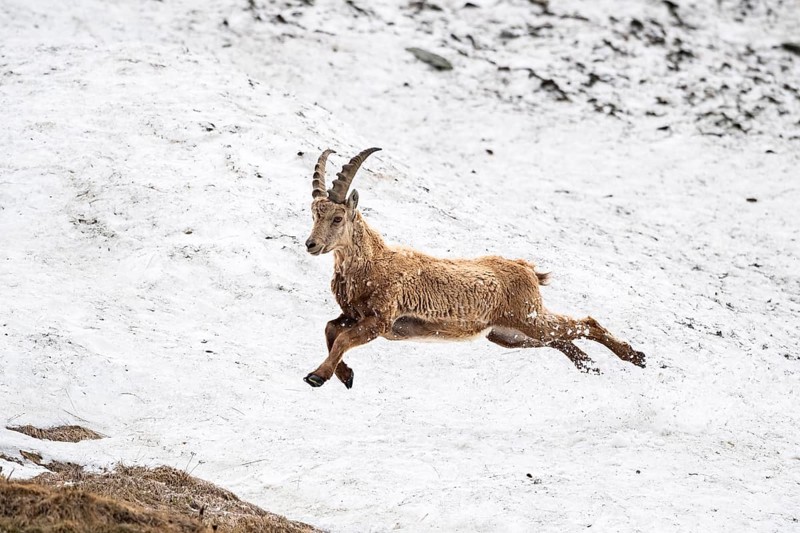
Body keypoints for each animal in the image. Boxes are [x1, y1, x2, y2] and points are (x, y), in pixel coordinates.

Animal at [303, 148, 645, 388]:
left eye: (337, 217)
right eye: (314, 214)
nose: (311, 244)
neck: (373, 262)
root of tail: (527, 269)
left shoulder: (379, 320)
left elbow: (343, 339)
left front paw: (318, 376)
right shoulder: (352, 315)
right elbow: (330, 329)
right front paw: (344, 375)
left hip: (528, 319)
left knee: (585, 323)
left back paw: (635, 356)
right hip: (509, 335)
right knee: (562, 339)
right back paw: (591, 366)